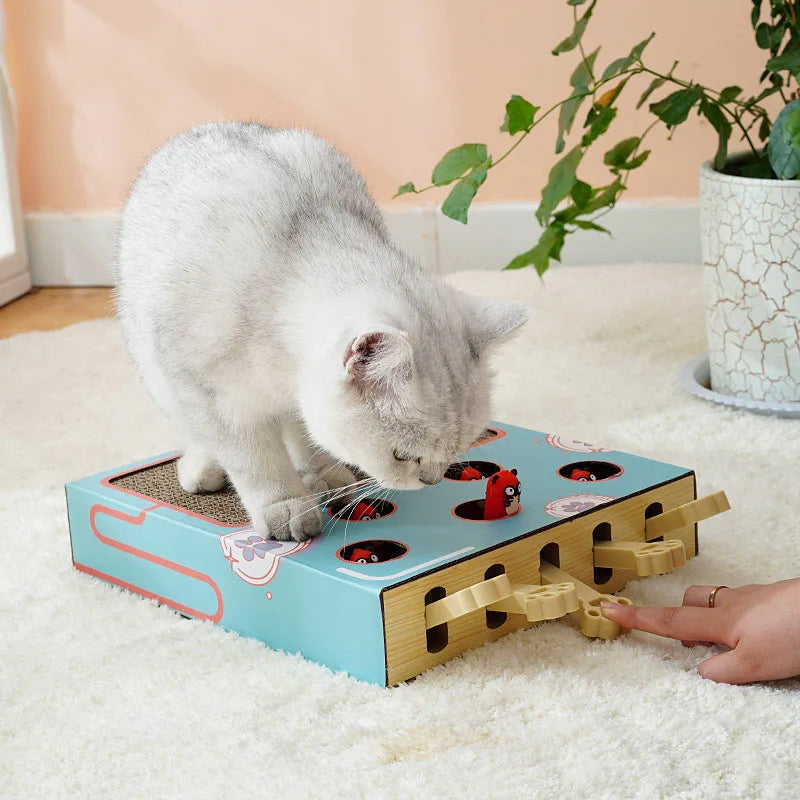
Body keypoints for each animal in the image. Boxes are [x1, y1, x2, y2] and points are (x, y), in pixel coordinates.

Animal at [115, 122, 528, 540]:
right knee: (193, 432)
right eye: (402, 455)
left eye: (456, 449)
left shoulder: (301, 395)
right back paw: (203, 467)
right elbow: (256, 461)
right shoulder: (209, 394)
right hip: (156, 372)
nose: (430, 480)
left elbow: (309, 435)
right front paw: (286, 506)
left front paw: (324, 475)